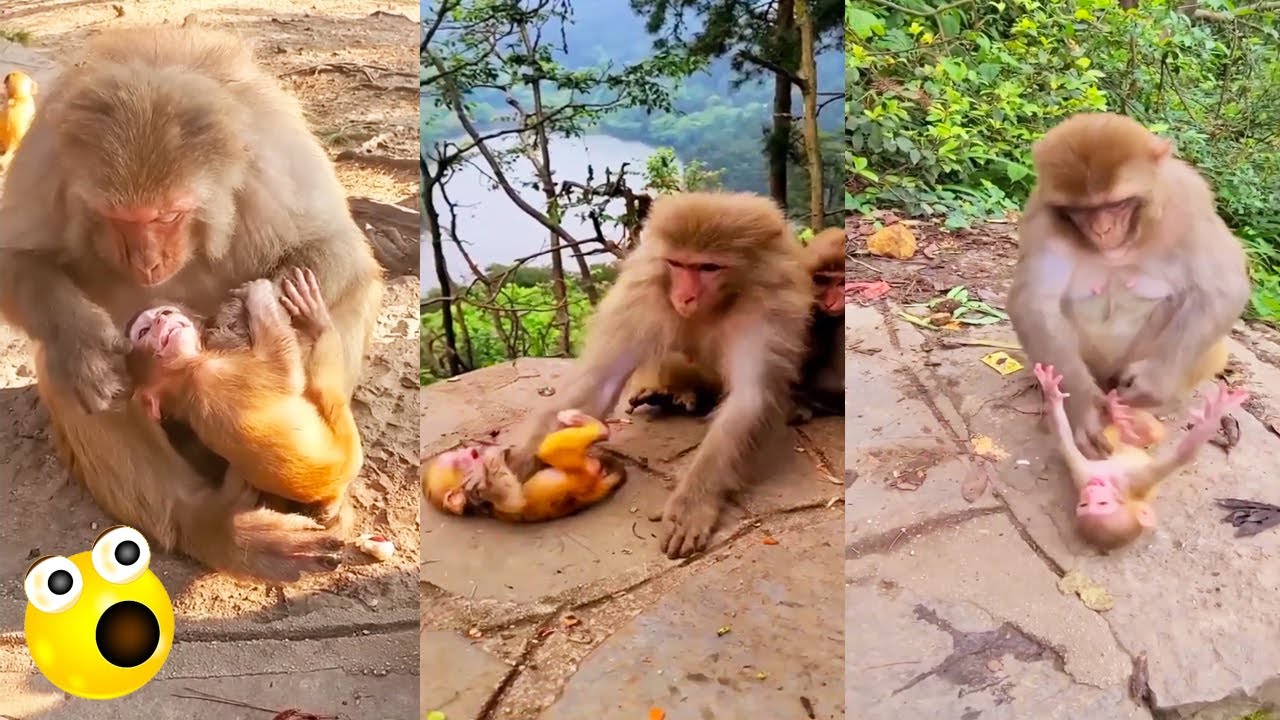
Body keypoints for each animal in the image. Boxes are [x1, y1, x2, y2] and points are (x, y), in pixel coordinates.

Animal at [125, 269, 363, 535]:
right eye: (144, 332)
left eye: (165, 313)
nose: (161, 320)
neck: (184, 375)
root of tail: (332, 491)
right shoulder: (213, 372)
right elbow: (286, 373)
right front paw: (258, 295)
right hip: (346, 441)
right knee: (324, 382)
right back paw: (320, 325)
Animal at [423, 409, 626, 522]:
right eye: (459, 460)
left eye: (459, 454)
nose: (471, 451)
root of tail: (595, 487)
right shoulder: (484, 495)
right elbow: (514, 497)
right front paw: (487, 462)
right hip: (580, 472)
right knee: (547, 449)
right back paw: (586, 422)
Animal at [504, 191, 812, 559]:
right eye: (677, 264)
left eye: (708, 267)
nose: (684, 296)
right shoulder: (642, 293)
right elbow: (601, 376)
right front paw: (517, 465)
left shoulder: (766, 307)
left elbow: (748, 400)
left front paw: (691, 504)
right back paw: (669, 393)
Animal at [1007, 112, 1249, 461]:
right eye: (1082, 211)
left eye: (1117, 205)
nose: (1103, 230)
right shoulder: (1040, 216)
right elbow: (1034, 301)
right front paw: (1083, 410)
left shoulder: (1189, 201)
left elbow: (1223, 286)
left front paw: (1153, 382)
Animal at [1034, 363, 1247, 551]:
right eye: (1084, 504)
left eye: (1102, 503)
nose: (1091, 491)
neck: (1111, 483)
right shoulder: (1084, 474)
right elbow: (1064, 442)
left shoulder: (1120, 478)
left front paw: (1051, 392)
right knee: (1149, 432)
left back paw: (1116, 411)